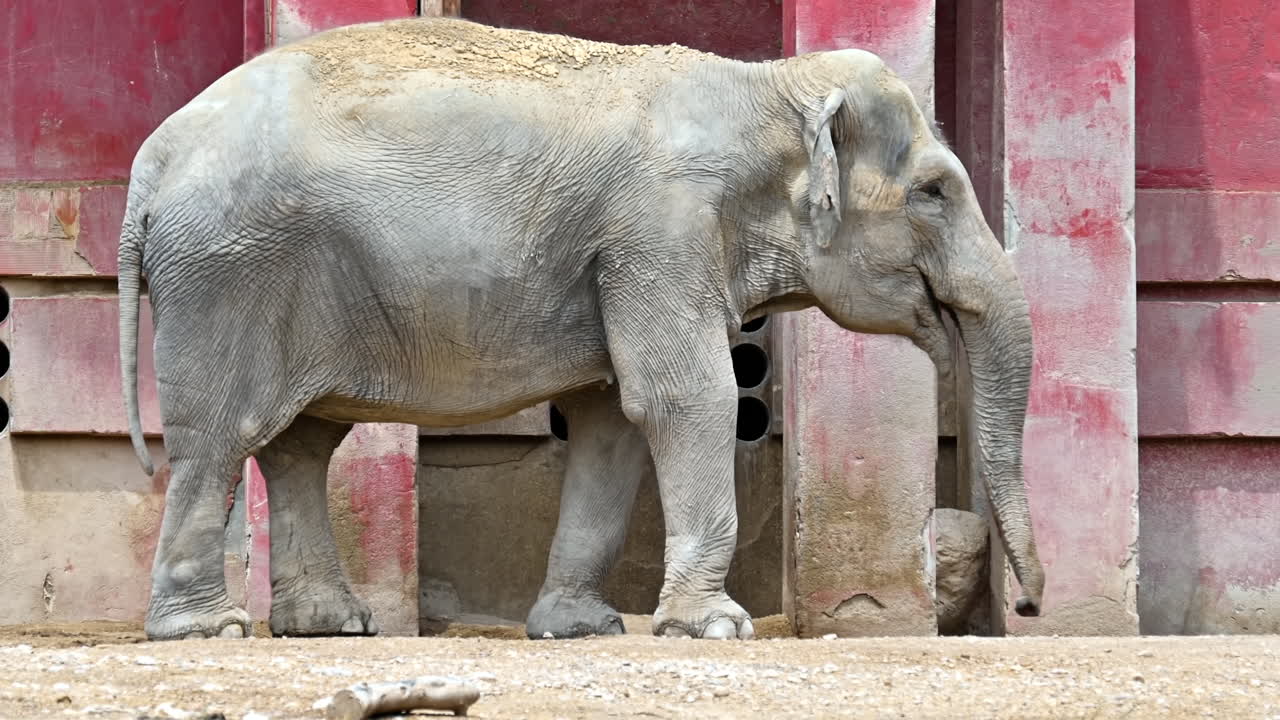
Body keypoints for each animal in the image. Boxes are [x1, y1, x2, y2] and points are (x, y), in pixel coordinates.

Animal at [118, 17, 1044, 641]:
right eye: (934, 192)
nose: (1032, 604)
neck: (765, 85)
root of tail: (152, 159)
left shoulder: (634, 252)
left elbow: (613, 423)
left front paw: (580, 629)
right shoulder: (658, 231)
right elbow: (686, 399)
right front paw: (714, 630)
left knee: (302, 442)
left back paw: (329, 624)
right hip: (229, 271)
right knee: (221, 433)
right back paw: (208, 630)